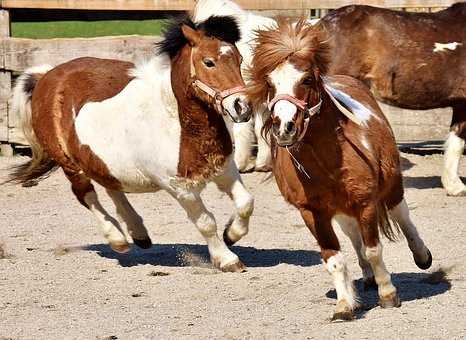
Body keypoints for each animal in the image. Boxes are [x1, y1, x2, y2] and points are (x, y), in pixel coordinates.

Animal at [7, 13, 253, 274]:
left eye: (239, 59)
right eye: (208, 62)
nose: (242, 107)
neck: (178, 123)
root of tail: (46, 76)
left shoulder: (225, 169)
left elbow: (246, 203)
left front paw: (231, 234)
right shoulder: (180, 188)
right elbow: (206, 222)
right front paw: (226, 259)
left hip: (100, 160)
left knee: (111, 187)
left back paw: (139, 233)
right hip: (70, 164)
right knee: (86, 195)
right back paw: (117, 238)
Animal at [249, 19, 436, 322]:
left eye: (307, 80)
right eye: (270, 82)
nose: (284, 127)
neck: (328, 163)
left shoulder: (366, 202)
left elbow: (374, 249)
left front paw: (388, 294)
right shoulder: (312, 212)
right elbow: (334, 259)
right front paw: (345, 304)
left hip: (391, 186)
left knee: (401, 215)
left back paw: (421, 256)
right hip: (341, 210)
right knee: (353, 235)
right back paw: (367, 278)